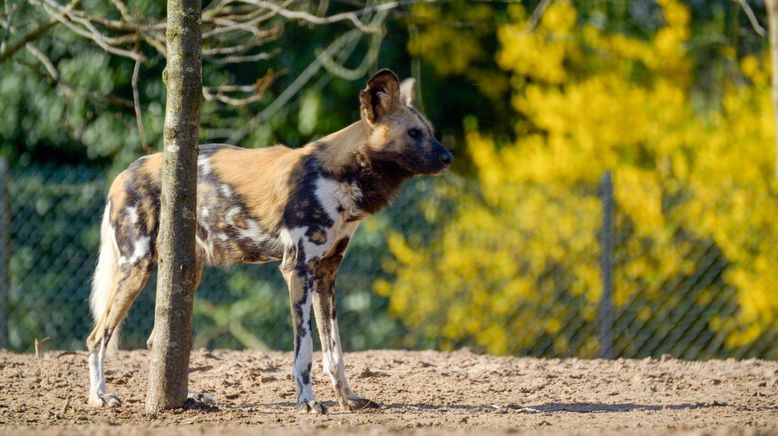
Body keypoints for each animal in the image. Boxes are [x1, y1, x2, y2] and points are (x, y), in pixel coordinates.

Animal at [87, 68, 452, 412]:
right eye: (414, 133)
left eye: (430, 131)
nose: (449, 157)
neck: (343, 176)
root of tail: (125, 172)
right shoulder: (298, 270)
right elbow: (305, 352)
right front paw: (307, 402)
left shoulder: (326, 275)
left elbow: (334, 352)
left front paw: (348, 399)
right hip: (136, 267)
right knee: (97, 337)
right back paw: (100, 396)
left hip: (187, 270)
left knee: (159, 342)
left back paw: (186, 396)